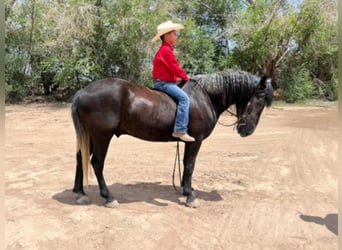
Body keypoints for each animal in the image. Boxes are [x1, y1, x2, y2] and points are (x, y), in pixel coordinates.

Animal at [71, 68, 274, 207]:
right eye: (259, 101)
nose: (247, 130)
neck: (205, 96)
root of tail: (82, 92)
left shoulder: (189, 141)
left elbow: (185, 163)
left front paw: (186, 189)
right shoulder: (197, 139)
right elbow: (190, 165)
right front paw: (190, 196)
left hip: (90, 135)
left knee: (80, 158)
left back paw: (80, 193)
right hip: (102, 136)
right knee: (97, 163)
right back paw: (108, 196)